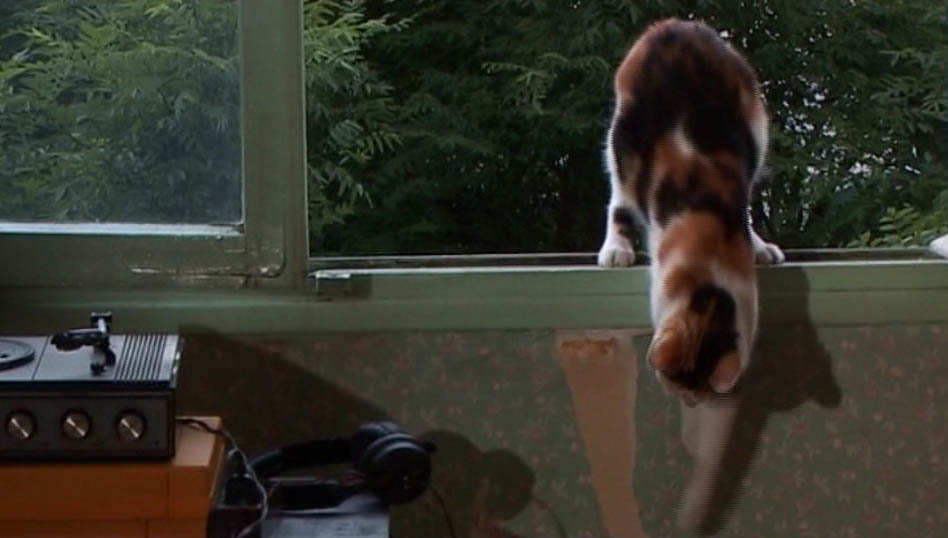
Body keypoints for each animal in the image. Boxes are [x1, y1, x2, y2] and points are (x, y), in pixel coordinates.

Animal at [596, 18, 785, 405]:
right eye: (677, 385)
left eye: (694, 389)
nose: (688, 401)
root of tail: (674, 24)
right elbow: (620, 206)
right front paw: (617, 248)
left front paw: (758, 247)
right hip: (621, 132)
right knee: (618, 194)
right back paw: (616, 249)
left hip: (755, 120)